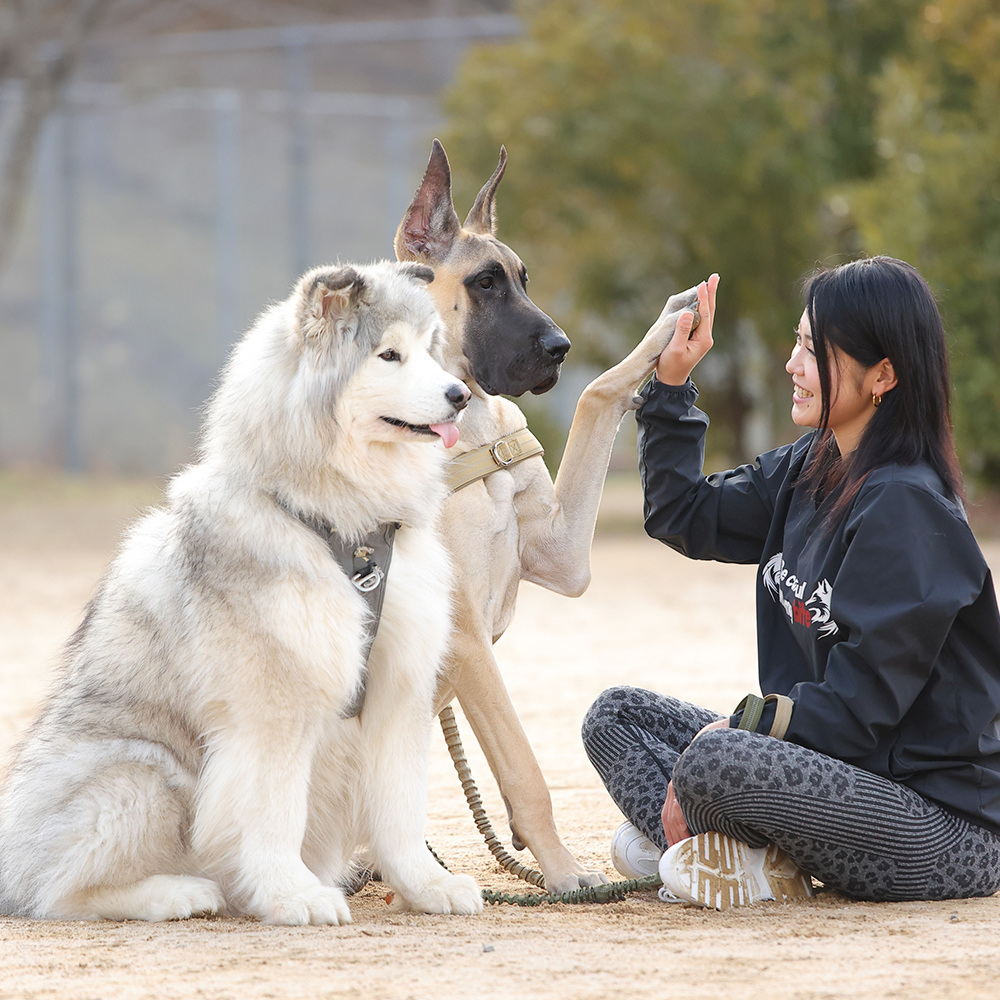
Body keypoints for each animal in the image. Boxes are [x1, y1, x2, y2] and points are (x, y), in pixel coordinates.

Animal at [0, 262, 484, 924]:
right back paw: (179, 892)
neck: (344, 533)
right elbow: (274, 812)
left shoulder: (400, 688)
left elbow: (401, 812)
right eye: (389, 355)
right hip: (140, 773)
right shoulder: (271, 704)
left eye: (429, 351)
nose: (460, 395)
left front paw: (428, 886)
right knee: (59, 891)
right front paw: (292, 894)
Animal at [392, 139, 696, 892]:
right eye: (485, 283)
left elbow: (596, 394)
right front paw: (562, 870)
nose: (559, 348)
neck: (469, 425)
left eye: (524, 278)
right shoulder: (463, 633)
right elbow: (526, 770)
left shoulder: (564, 556)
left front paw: (673, 321)